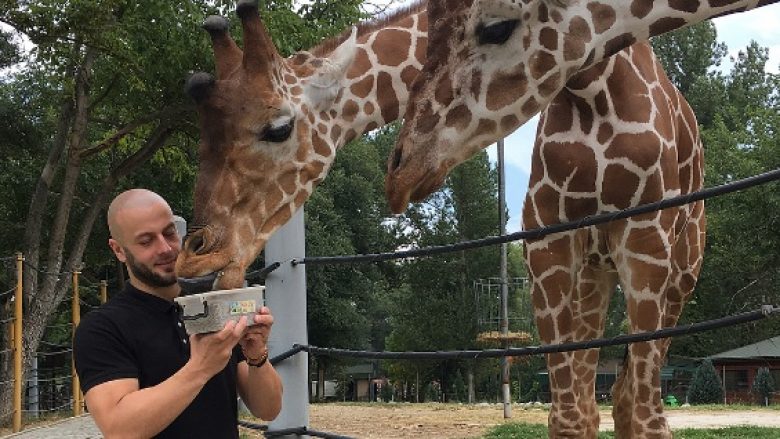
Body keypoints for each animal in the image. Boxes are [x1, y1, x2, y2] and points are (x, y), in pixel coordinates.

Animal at [376, 0, 780, 439]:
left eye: (496, 28)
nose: (401, 172)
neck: (595, 93)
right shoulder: (547, 236)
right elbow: (570, 415)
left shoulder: (644, 233)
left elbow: (645, 413)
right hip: (594, 272)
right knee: (600, 391)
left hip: (683, 269)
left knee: (631, 390)